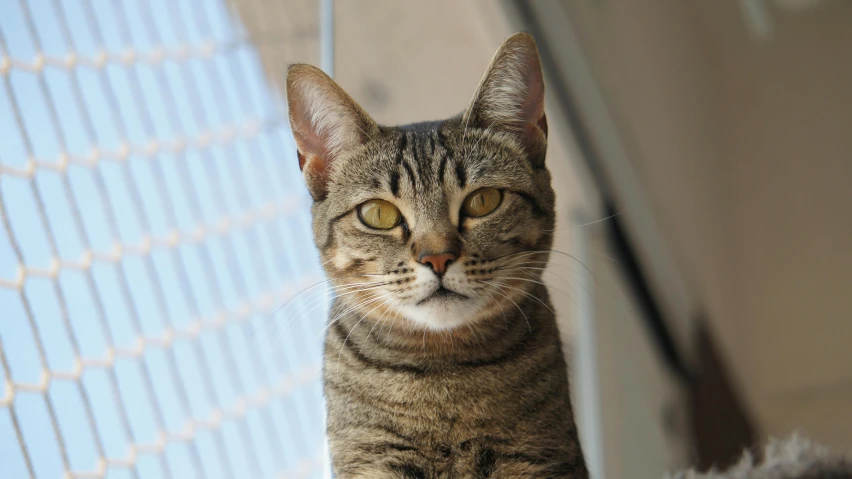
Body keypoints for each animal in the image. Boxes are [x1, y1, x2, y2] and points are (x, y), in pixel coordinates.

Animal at [288, 33, 852, 479]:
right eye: (379, 214)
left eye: (483, 201)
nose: (438, 258)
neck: (445, 376)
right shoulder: (373, 461)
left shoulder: (539, 456)